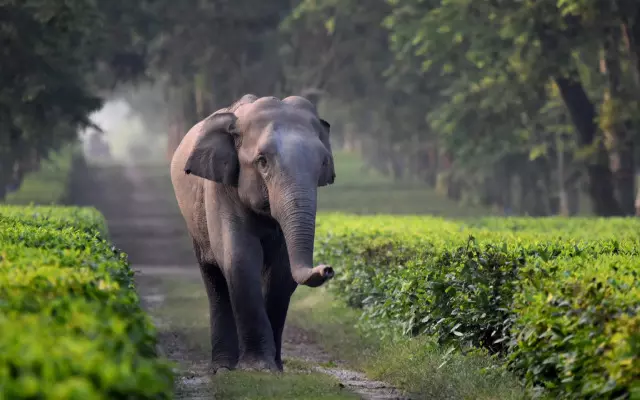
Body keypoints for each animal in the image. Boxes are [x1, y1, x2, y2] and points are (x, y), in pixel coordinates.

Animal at [169, 94, 336, 373]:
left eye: (322, 163)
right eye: (262, 162)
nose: (327, 269)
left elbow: (282, 271)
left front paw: (274, 369)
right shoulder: (220, 189)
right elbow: (239, 257)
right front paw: (258, 368)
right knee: (214, 279)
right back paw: (223, 367)